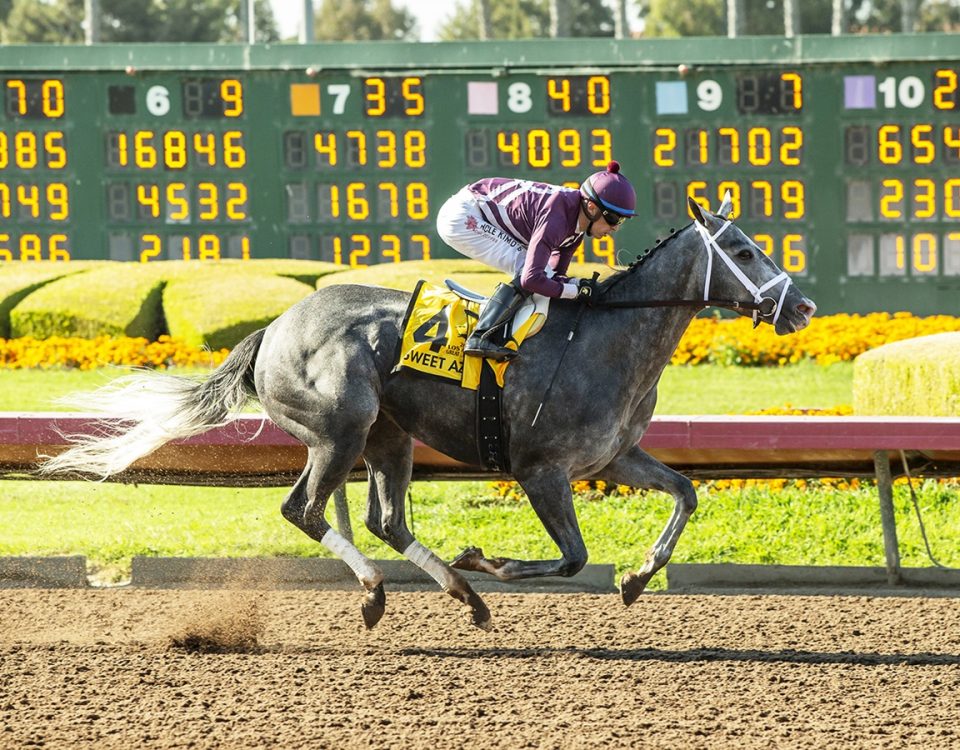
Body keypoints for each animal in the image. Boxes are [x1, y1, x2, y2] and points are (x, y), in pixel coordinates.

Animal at [41, 197, 812, 632]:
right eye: (742, 250)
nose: (801, 306)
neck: (606, 338)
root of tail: (275, 327)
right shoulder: (541, 470)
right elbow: (571, 558)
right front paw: (489, 558)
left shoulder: (614, 457)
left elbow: (685, 493)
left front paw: (638, 578)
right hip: (338, 431)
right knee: (306, 510)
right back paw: (383, 591)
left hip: (390, 438)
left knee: (385, 520)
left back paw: (463, 596)